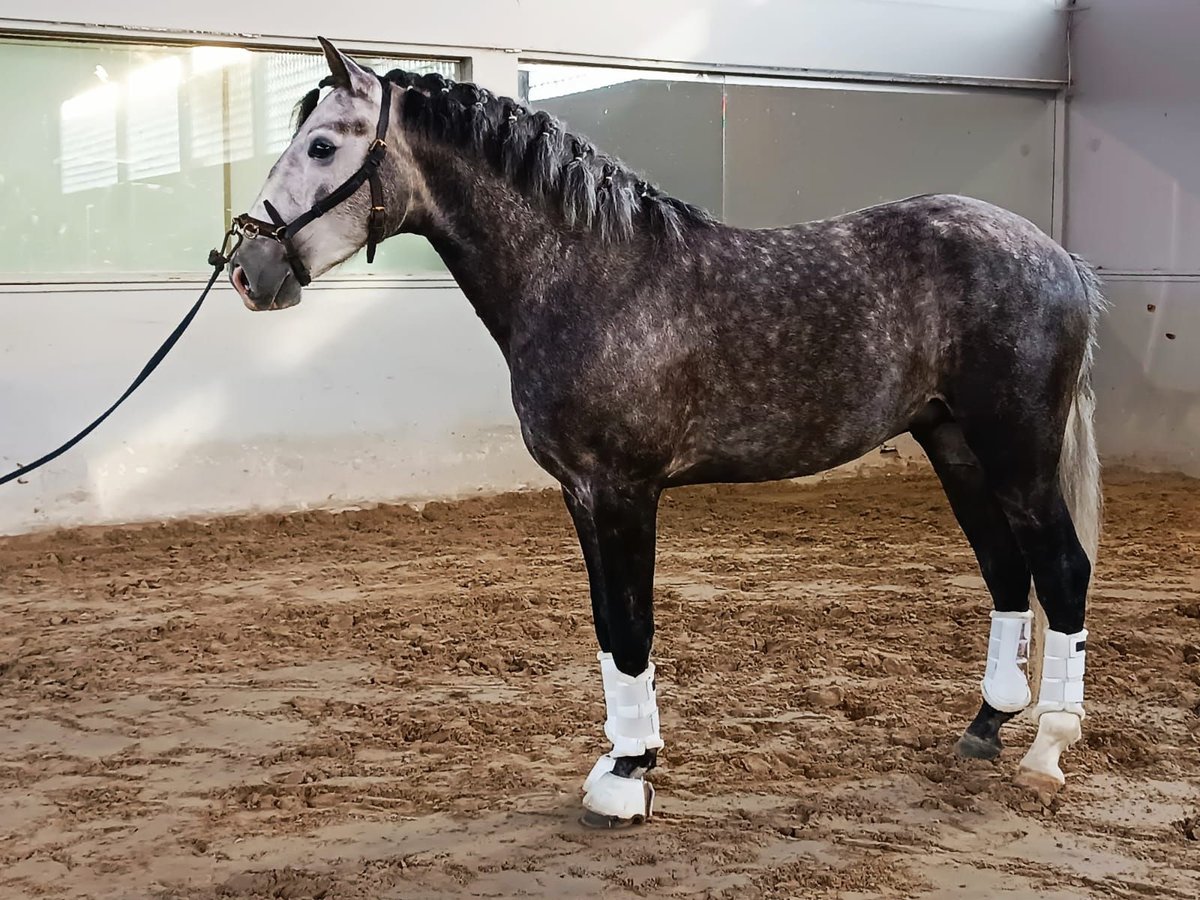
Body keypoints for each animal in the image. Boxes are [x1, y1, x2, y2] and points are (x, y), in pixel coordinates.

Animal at [229, 40, 1099, 830]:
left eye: (321, 145)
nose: (247, 269)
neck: (588, 276)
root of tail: (1056, 256)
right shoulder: (582, 495)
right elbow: (608, 625)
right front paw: (622, 762)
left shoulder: (623, 490)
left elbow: (633, 624)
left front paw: (627, 777)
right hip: (955, 444)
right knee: (1005, 570)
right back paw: (985, 726)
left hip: (1017, 448)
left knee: (1061, 570)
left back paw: (1047, 750)